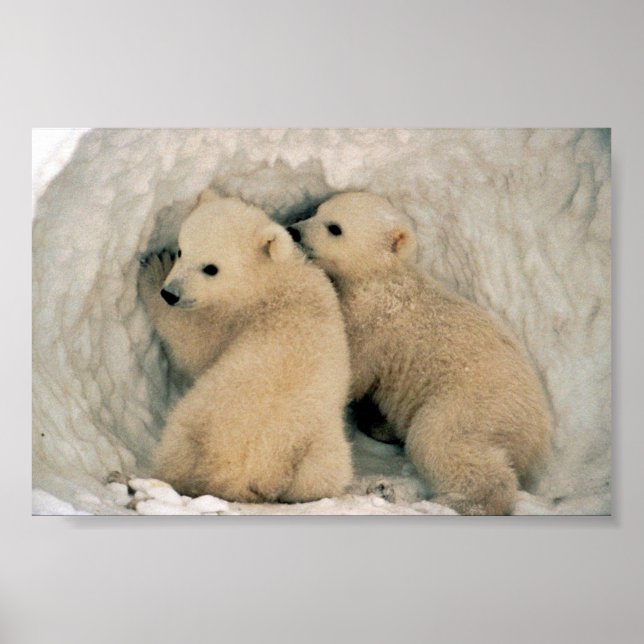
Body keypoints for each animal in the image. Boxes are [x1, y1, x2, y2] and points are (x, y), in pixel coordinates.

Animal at [138, 190, 353, 503]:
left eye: (211, 268)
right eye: (182, 250)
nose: (170, 293)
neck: (271, 281)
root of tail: (241, 473)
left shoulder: (231, 319)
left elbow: (193, 345)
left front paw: (153, 270)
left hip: (198, 419)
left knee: (176, 446)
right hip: (317, 450)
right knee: (322, 477)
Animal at [288, 191, 552, 515]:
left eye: (335, 227)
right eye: (316, 211)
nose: (294, 231)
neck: (383, 279)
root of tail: (537, 432)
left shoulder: (372, 323)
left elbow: (352, 369)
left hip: (474, 405)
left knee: (440, 441)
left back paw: (456, 502)